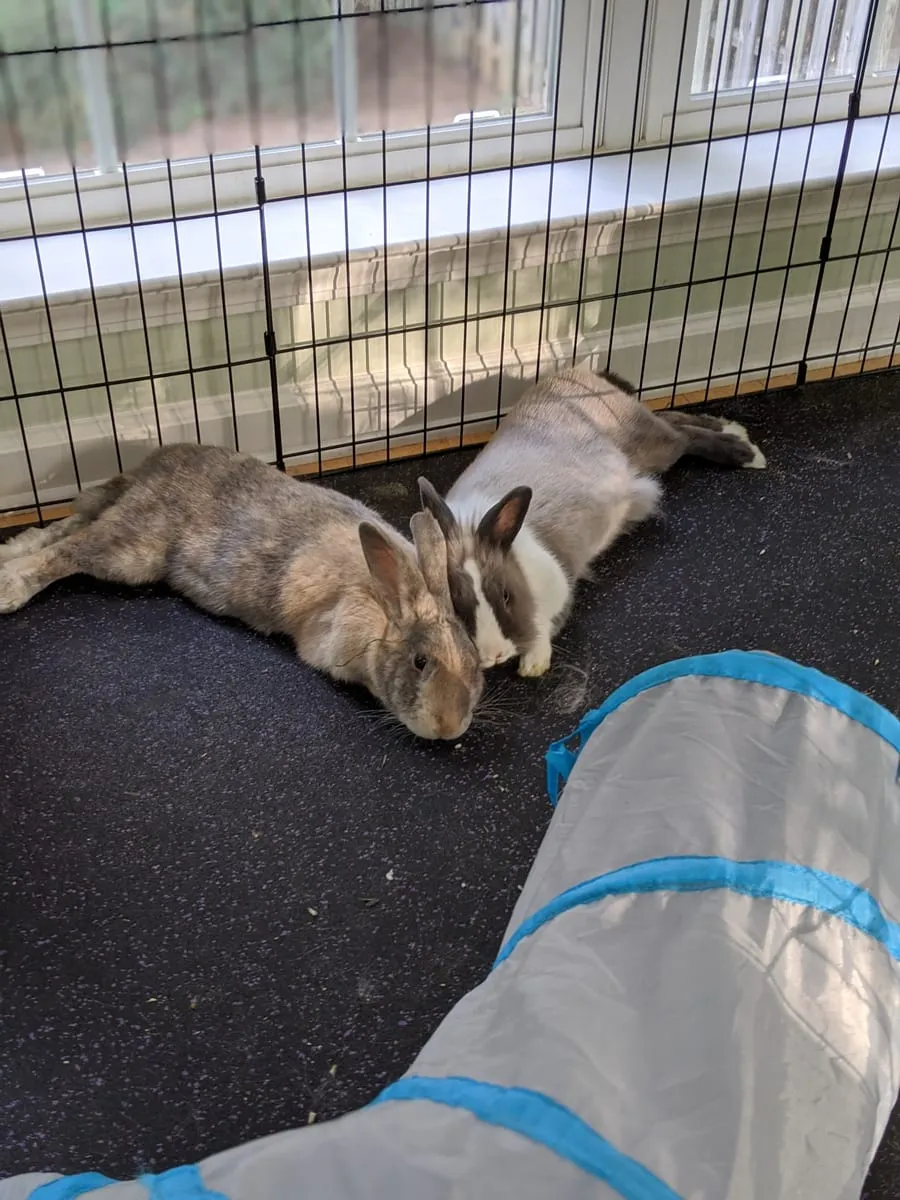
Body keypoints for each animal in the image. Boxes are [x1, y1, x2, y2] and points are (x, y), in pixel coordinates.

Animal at [0, 443, 484, 741]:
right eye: (421, 662)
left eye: (475, 664)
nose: (450, 727)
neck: (386, 604)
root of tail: (149, 467)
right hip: (133, 550)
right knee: (70, 548)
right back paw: (9, 587)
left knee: (64, 526)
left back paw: (7, 553)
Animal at [417, 364, 766, 677]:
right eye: (455, 603)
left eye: (506, 595)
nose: (494, 656)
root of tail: (583, 372)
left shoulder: (557, 581)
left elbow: (543, 623)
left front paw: (534, 663)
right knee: (672, 418)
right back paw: (734, 429)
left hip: (653, 444)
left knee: (683, 434)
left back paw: (745, 450)